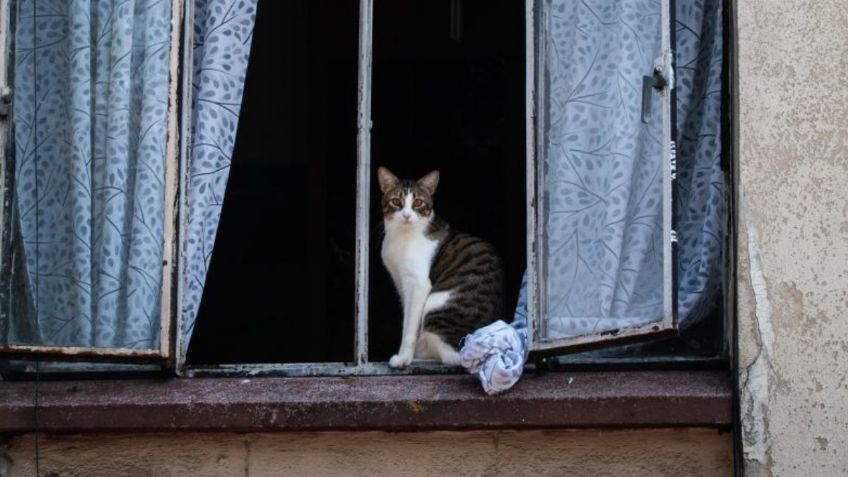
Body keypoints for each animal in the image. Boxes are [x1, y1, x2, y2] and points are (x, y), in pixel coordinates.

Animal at [378, 165, 504, 366]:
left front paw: (404, 358)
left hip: (435, 305)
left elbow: (409, 328)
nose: (406, 215)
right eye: (396, 201)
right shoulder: (401, 283)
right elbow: (409, 321)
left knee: (452, 358)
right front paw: (408, 356)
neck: (400, 237)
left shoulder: (418, 284)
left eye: (418, 203)